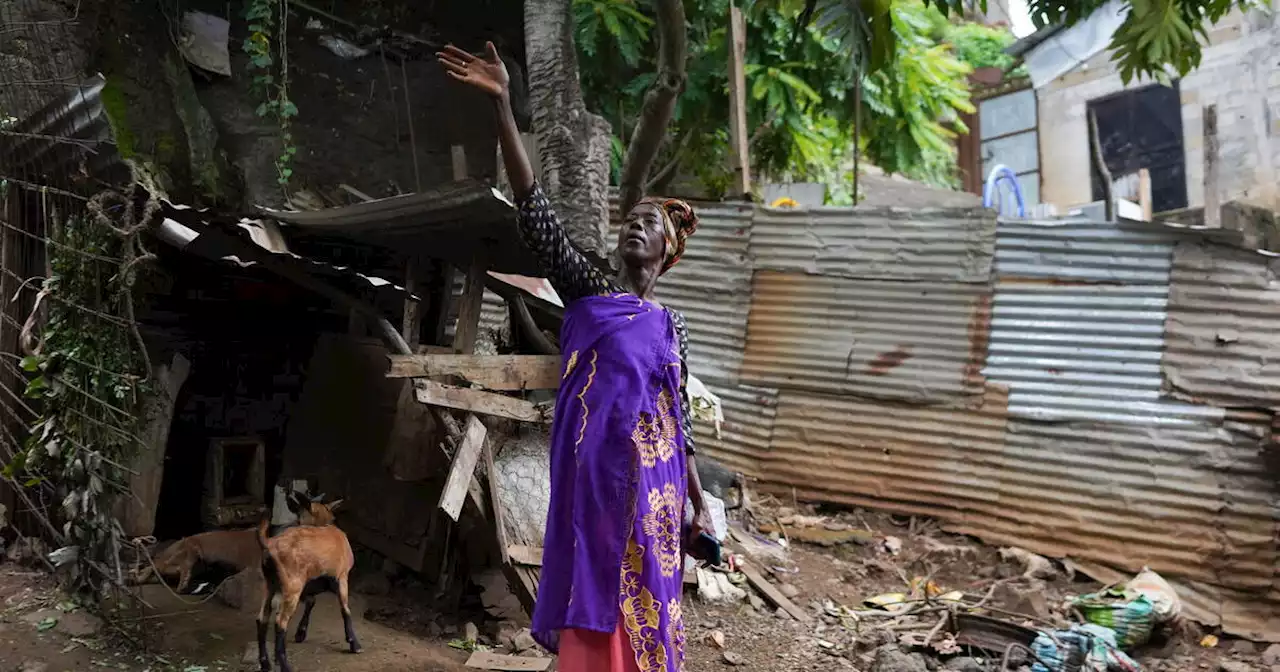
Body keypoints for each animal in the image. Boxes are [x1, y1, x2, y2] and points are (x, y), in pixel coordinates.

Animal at [254, 496, 358, 670]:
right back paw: (285, 665)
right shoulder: (342, 577)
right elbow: (345, 610)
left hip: (269, 585)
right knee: (280, 622)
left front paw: (300, 633)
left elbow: (311, 602)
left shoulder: (308, 586)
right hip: (292, 587)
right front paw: (354, 643)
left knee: (262, 619)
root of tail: (270, 543)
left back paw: (265, 662)